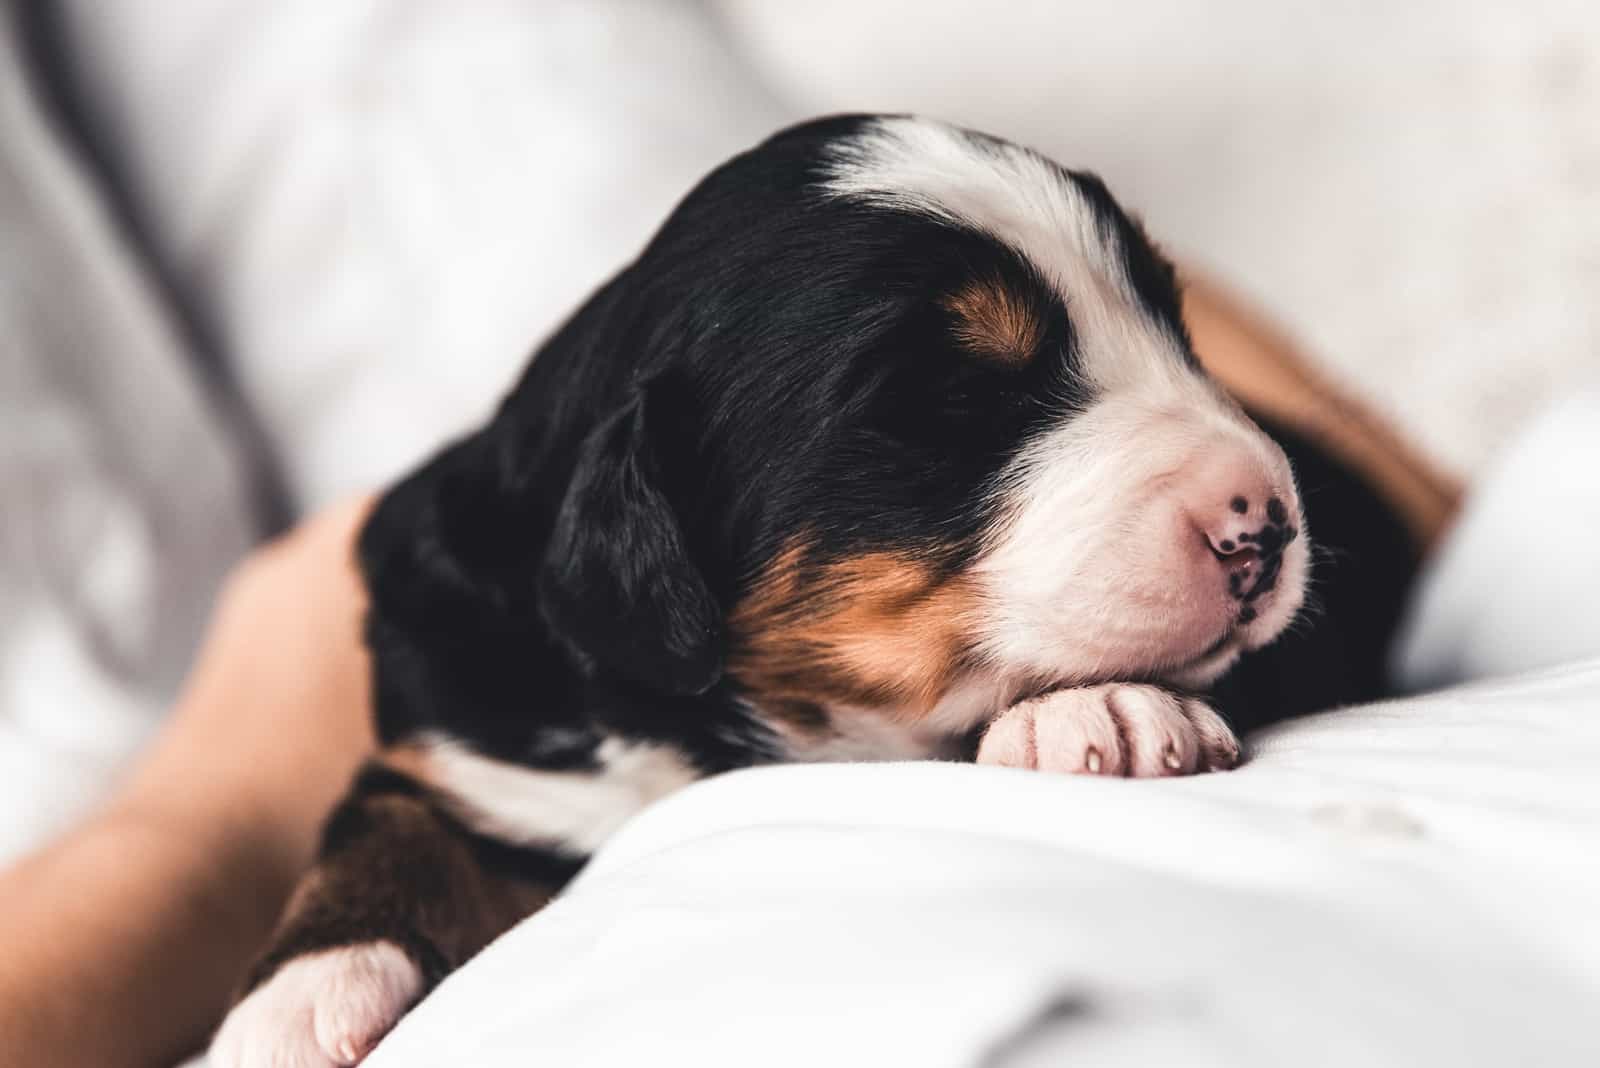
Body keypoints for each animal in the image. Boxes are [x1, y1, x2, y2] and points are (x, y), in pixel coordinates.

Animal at [209, 116, 1414, 1068]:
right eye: (948, 398)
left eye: (1174, 324)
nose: (1267, 518)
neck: (734, 721)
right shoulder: (457, 736)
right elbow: (382, 826)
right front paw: (297, 999)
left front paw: (1102, 709)